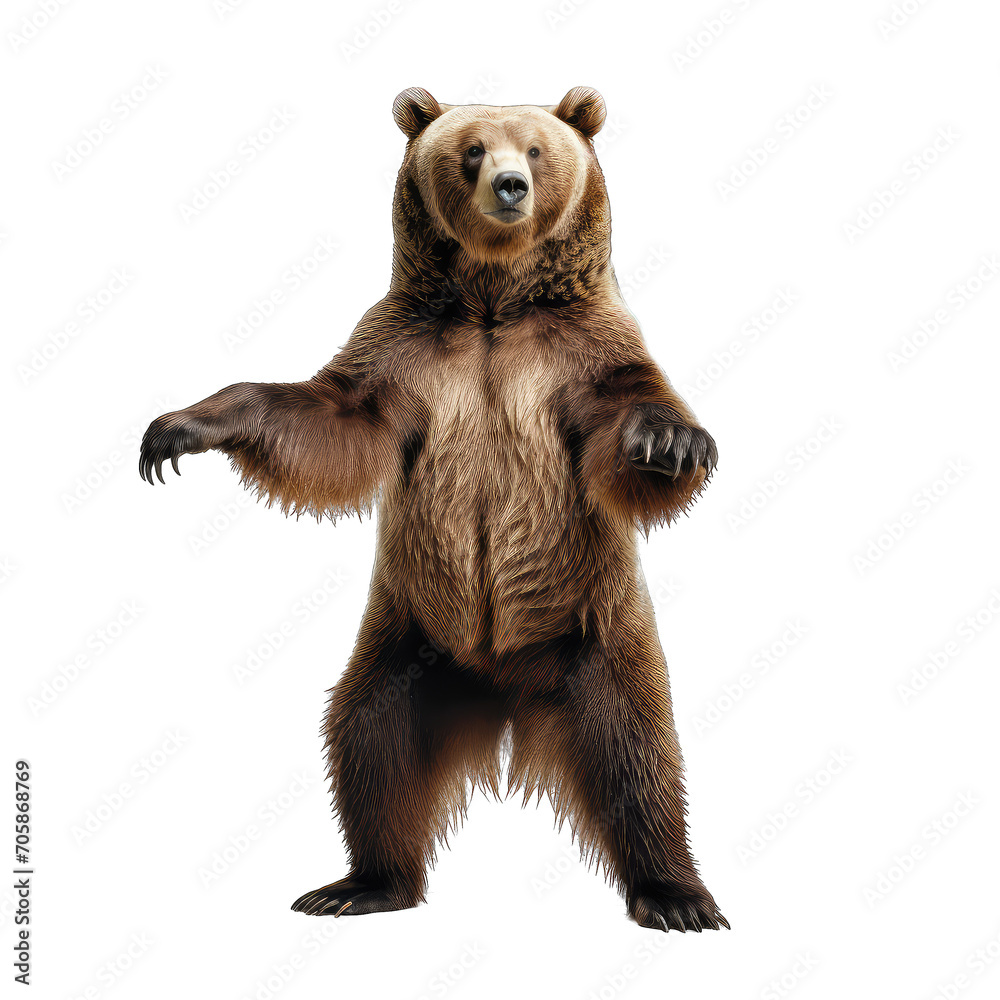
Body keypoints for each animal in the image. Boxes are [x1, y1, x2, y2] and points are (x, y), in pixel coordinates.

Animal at [139, 86, 727, 933]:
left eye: (536, 149)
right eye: (472, 149)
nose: (510, 186)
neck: (492, 305)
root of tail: (507, 691)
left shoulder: (583, 350)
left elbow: (627, 421)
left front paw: (671, 442)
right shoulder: (401, 352)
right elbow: (328, 420)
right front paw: (179, 426)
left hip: (597, 634)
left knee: (639, 754)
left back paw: (675, 894)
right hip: (406, 642)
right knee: (368, 741)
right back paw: (358, 884)